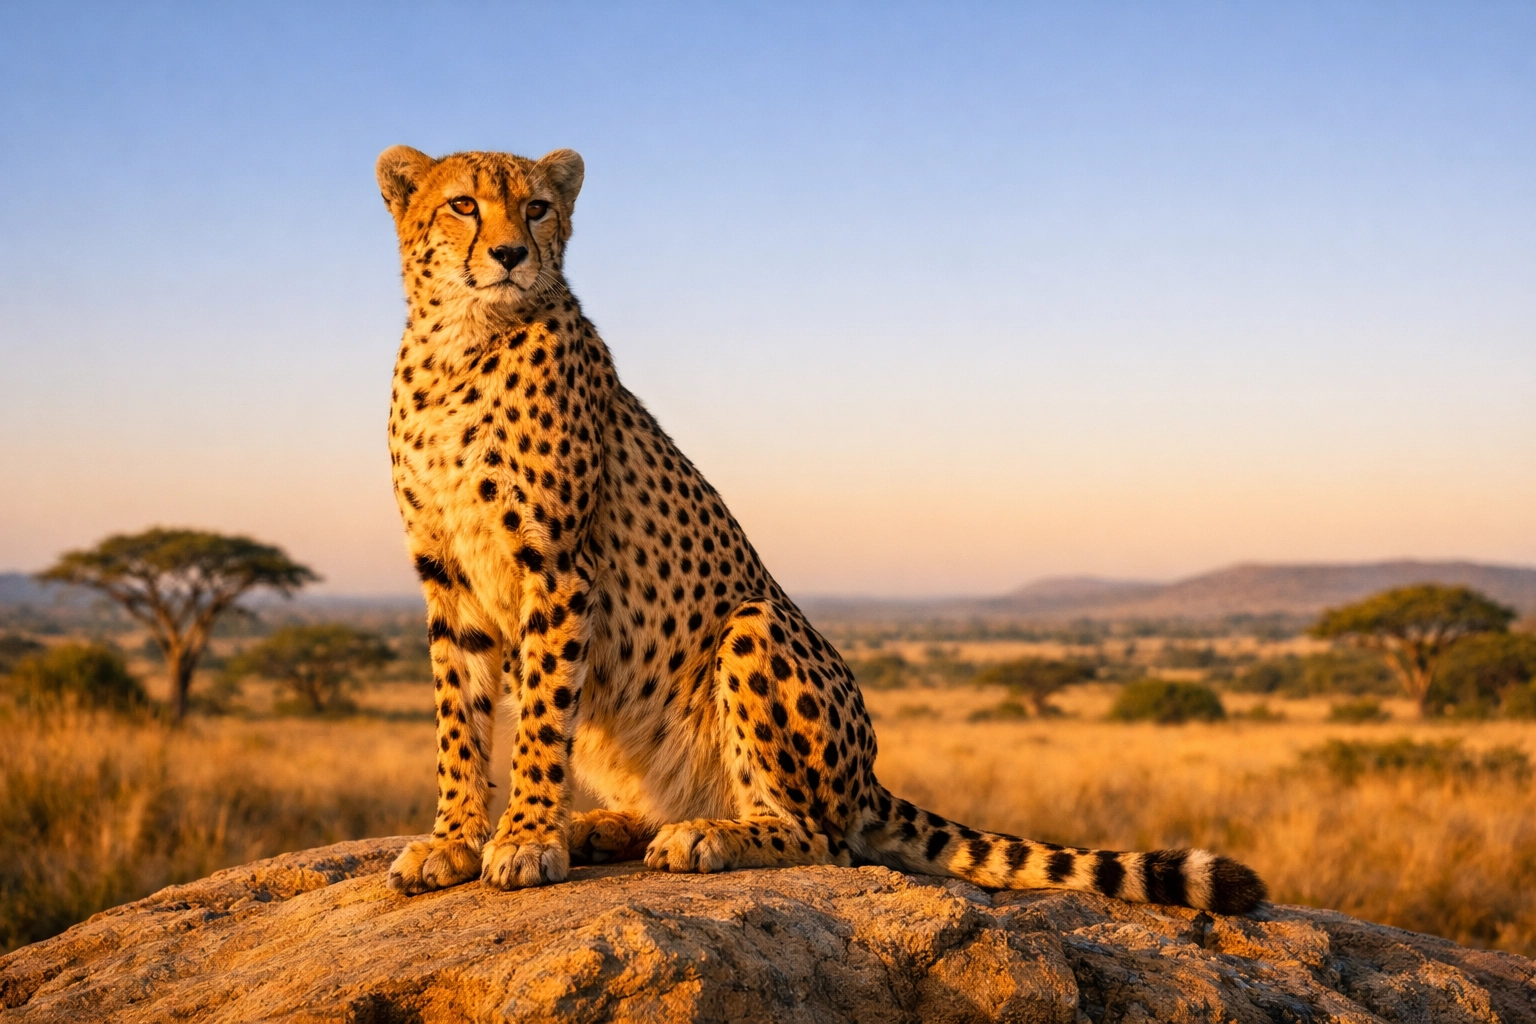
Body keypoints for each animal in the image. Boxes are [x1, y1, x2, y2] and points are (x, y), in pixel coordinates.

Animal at [374, 144, 1267, 915]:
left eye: (537, 207)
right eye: (463, 205)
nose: (510, 255)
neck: (462, 343)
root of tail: (867, 776)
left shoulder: (557, 564)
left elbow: (535, 725)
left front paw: (526, 838)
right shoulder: (448, 575)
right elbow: (458, 718)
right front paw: (453, 840)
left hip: (753, 625)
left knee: (825, 838)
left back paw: (705, 835)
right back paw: (609, 824)